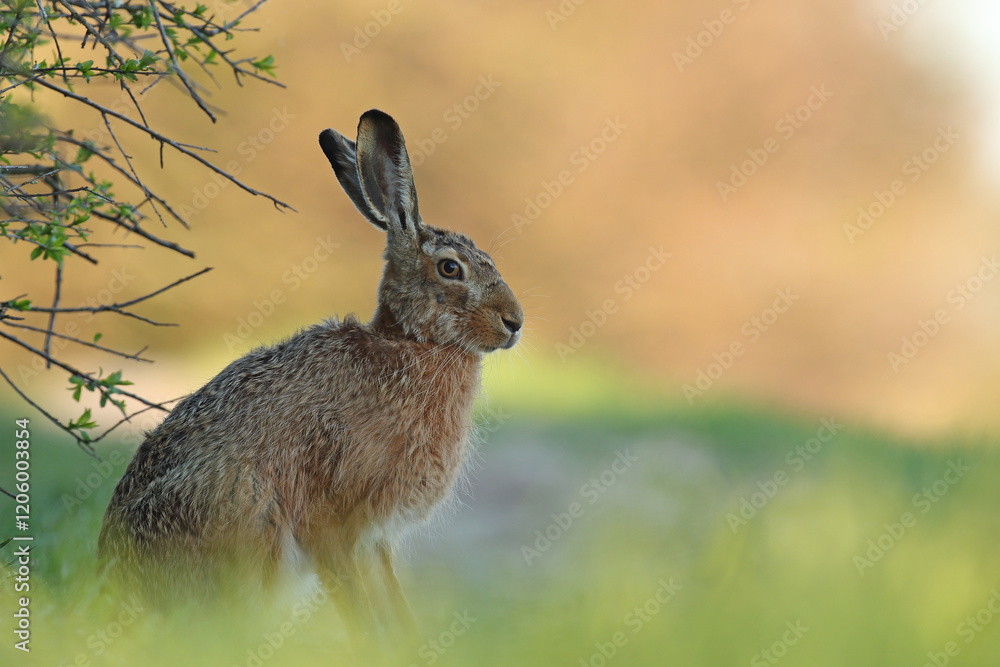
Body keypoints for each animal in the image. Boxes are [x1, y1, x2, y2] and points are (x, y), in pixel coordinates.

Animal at [97, 109, 523, 643]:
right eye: (450, 268)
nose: (515, 322)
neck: (413, 344)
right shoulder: (333, 524)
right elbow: (358, 608)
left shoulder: (375, 540)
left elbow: (392, 599)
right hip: (244, 509)